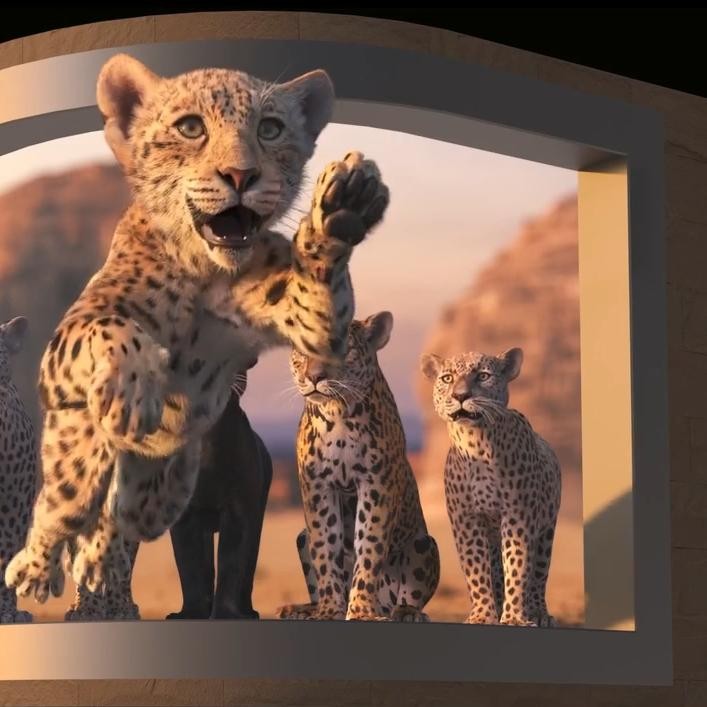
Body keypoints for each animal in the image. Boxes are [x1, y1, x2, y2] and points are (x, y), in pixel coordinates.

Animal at [5, 52, 389, 606]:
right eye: (190, 128)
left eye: (270, 129)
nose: (241, 174)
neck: (204, 270)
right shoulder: (68, 341)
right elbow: (115, 329)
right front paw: (133, 388)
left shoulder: (313, 326)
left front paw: (343, 209)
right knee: (66, 498)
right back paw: (38, 567)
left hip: (164, 493)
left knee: (125, 511)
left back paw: (99, 559)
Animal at [277, 311, 440, 622]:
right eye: (304, 351)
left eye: (343, 349)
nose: (314, 377)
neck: (337, 415)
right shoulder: (317, 485)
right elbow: (325, 548)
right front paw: (330, 610)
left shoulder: (376, 481)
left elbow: (369, 544)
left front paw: (362, 610)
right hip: (301, 537)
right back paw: (298, 609)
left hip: (424, 544)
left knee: (407, 596)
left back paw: (405, 612)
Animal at [421, 348, 561, 627]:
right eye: (447, 378)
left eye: (483, 376)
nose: (460, 395)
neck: (476, 442)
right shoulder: (466, 519)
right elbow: (476, 568)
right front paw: (483, 615)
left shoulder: (518, 517)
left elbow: (517, 566)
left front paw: (515, 618)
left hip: (547, 531)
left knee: (538, 576)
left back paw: (539, 614)